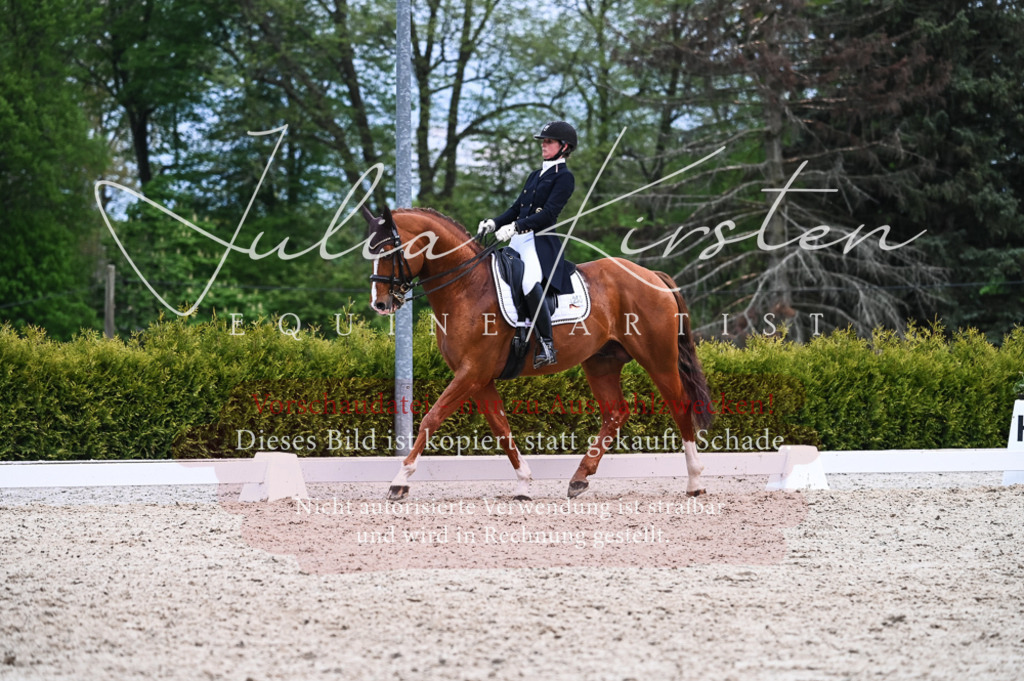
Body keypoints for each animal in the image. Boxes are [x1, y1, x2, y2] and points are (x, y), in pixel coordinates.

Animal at [362, 204, 712, 501]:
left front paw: (400, 482)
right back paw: (579, 478)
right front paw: (523, 484)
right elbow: (501, 429)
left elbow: (431, 418)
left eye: (389, 250)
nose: (380, 303)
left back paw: (695, 481)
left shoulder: (472, 372)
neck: (467, 287)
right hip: (601, 362)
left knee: (680, 405)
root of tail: (652, 275)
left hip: (658, 358)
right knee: (615, 413)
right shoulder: (479, 378)